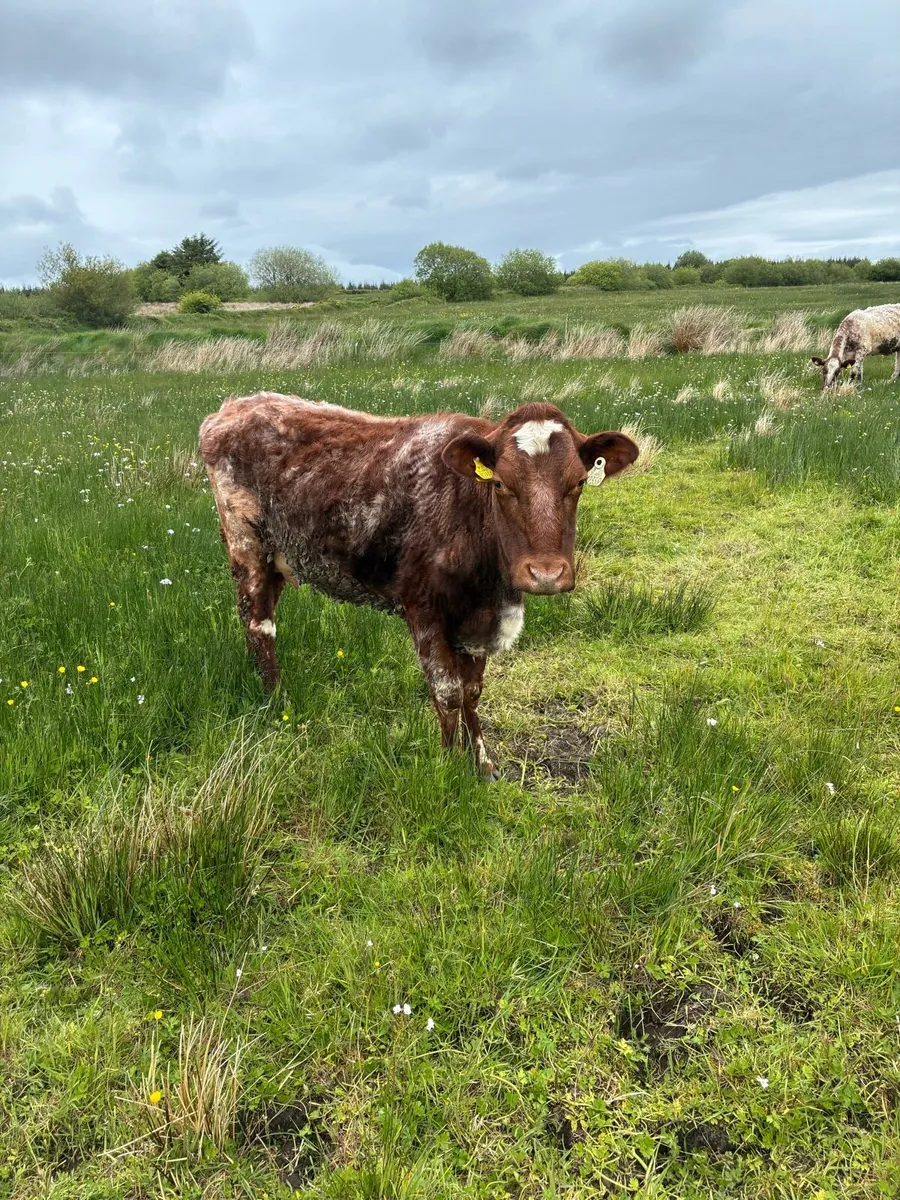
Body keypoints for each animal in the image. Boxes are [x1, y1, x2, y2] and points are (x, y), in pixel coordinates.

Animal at [199, 393, 639, 778]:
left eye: (578, 482)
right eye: (500, 484)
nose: (546, 574)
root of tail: (235, 406)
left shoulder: (478, 618)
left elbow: (472, 691)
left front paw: (483, 765)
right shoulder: (423, 609)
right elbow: (447, 692)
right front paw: (447, 768)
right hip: (246, 544)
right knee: (259, 625)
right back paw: (277, 702)